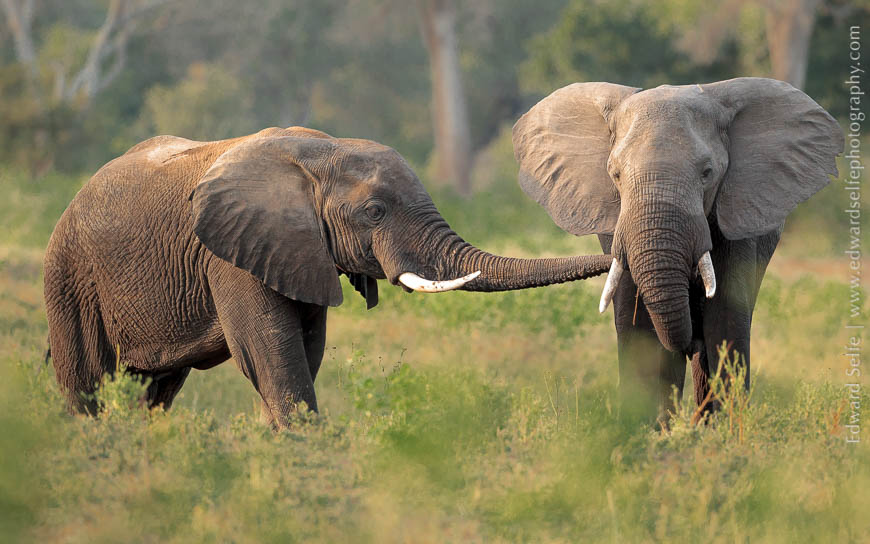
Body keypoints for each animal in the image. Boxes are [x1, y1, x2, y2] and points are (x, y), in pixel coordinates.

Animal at [44, 126, 611, 427]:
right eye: (375, 212)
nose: (617, 256)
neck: (322, 151)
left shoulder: (298, 252)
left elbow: (306, 349)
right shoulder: (231, 256)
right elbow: (271, 355)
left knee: (154, 390)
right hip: (69, 277)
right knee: (87, 383)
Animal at [512, 77, 844, 422]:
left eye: (707, 172)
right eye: (615, 174)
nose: (686, 344)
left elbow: (724, 322)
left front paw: (722, 430)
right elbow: (637, 326)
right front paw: (647, 429)